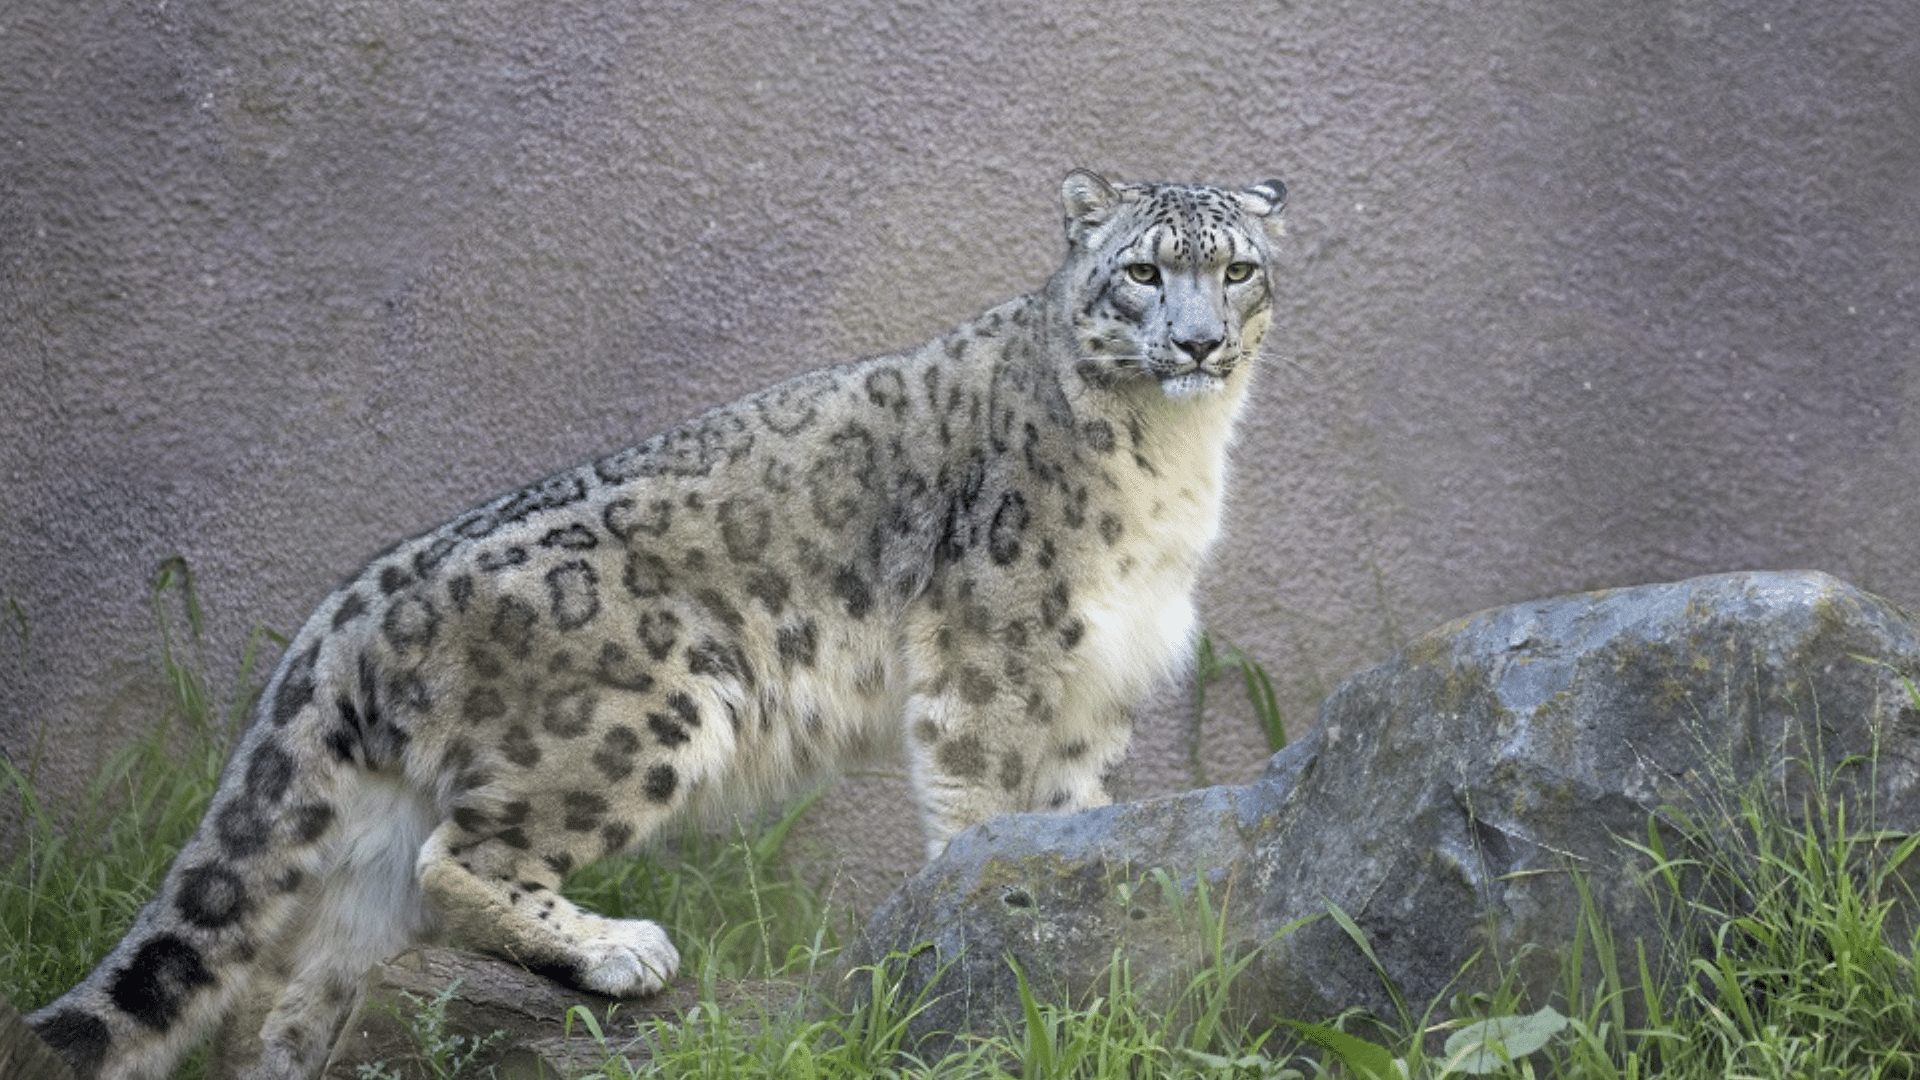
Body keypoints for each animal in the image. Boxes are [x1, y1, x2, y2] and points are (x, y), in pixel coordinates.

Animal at [26, 170, 1290, 1076]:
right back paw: (620, 949)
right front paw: (982, 921)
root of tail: (359, 594)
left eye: (1237, 268)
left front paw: (1082, 931)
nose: (1196, 343)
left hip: (375, 846)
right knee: (463, 859)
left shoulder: (1095, 681)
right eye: (1141, 271)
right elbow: (983, 803)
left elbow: (1073, 817)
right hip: (644, 710)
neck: (1176, 462)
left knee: (309, 987)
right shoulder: (994, 657)